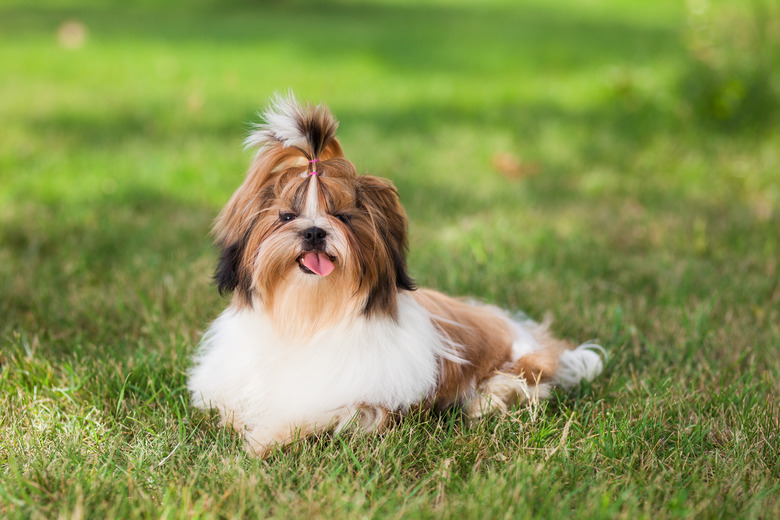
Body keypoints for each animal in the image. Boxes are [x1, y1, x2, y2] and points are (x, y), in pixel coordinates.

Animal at [187, 94, 604, 460]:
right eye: (286, 217)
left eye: (343, 216)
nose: (315, 232)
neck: (308, 315)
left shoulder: (363, 402)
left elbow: (310, 412)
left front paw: (264, 439)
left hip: (520, 363)